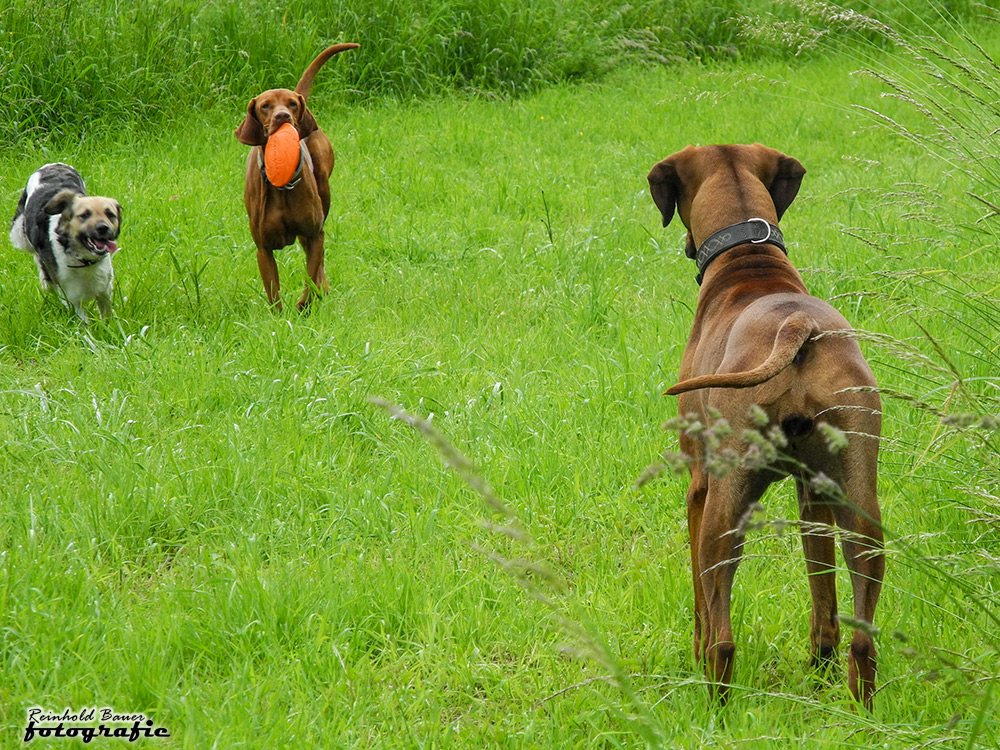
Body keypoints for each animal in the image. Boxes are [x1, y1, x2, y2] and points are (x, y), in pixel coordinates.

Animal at [9, 164, 121, 324]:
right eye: (85, 215)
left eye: (110, 214)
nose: (103, 228)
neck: (83, 259)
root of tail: (53, 165)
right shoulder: (72, 298)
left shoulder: (105, 288)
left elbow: (106, 315)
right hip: (19, 232)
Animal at [234, 43, 360, 312]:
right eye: (265, 106)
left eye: (291, 104)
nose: (283, 116)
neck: (282, 187)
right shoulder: (263, 248)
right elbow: (273, 292)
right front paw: (280, 318)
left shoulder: (314, 233)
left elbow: (311, 276)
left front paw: (305, 305)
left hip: (324, 193)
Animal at [652, 145, 888, 712]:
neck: (751, 262)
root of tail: (797, 326)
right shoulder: (812, 494)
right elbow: (822, 593)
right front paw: (819, 668)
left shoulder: (698, 489)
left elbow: (699, 598)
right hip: (858, 507)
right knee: (860, 637)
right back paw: (860, 706)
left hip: (725, 509)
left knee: (722, 635)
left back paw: (714, 700)